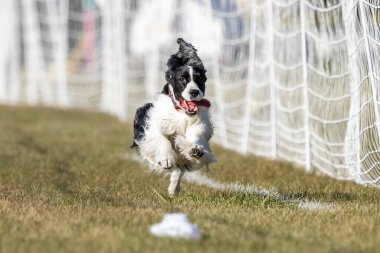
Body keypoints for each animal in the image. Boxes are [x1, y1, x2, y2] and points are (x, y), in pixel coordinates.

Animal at [133, 39, 217, 198]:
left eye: (200, 79)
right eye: (182, 79)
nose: (194, 91)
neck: (181, 113)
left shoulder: (199, 125)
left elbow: (196, 137)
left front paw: (195, 149)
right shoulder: (153, 124)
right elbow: (161, 138)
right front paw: (166, 159)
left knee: (181, 168)